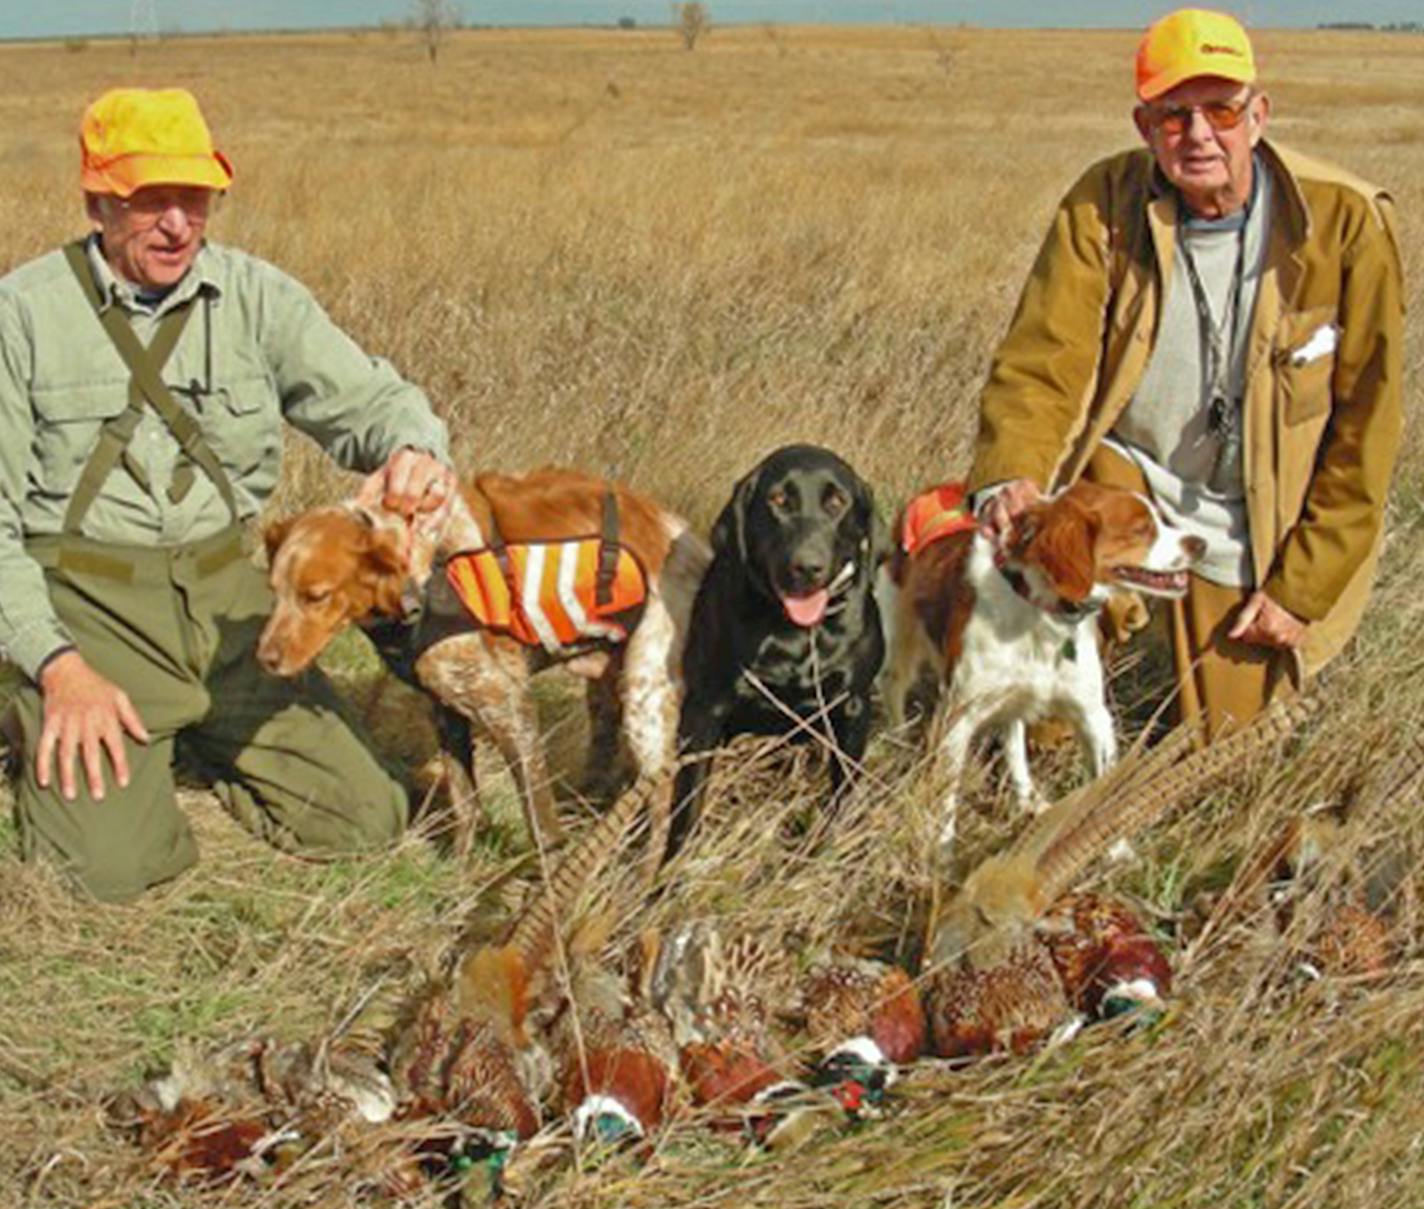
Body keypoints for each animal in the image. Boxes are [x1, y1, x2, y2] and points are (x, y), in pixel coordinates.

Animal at [257, 467, 712, 854]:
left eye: (316, 596)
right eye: (274, 590)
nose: (264, 659)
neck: (425, 573)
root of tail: (690, 540)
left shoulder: (511, 711)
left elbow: (542, 831)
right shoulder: (446, 710)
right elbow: (466, 808)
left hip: (646, 701)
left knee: (662, 804)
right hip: (607, 691)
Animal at [663, 447, 882, 860]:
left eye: (837, 502)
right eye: (778, 500)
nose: (807, 568)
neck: (792, 630)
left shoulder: (853, 707)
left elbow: (842, 796)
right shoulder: (704, 711)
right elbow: (688, 805)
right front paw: (672, 871)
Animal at [877, 475, 1201, 843]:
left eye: (1159, 519)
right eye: (1141, 529)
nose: (1201, 544)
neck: (1040, 611)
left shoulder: (1092, 715)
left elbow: (1100, 794)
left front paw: (1111, 847)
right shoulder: (957, 719)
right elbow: (945, 800)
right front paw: (942, 850)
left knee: (1014, 743)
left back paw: (1030, 801)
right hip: (898, 649)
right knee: (893, 691)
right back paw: (900, 745)